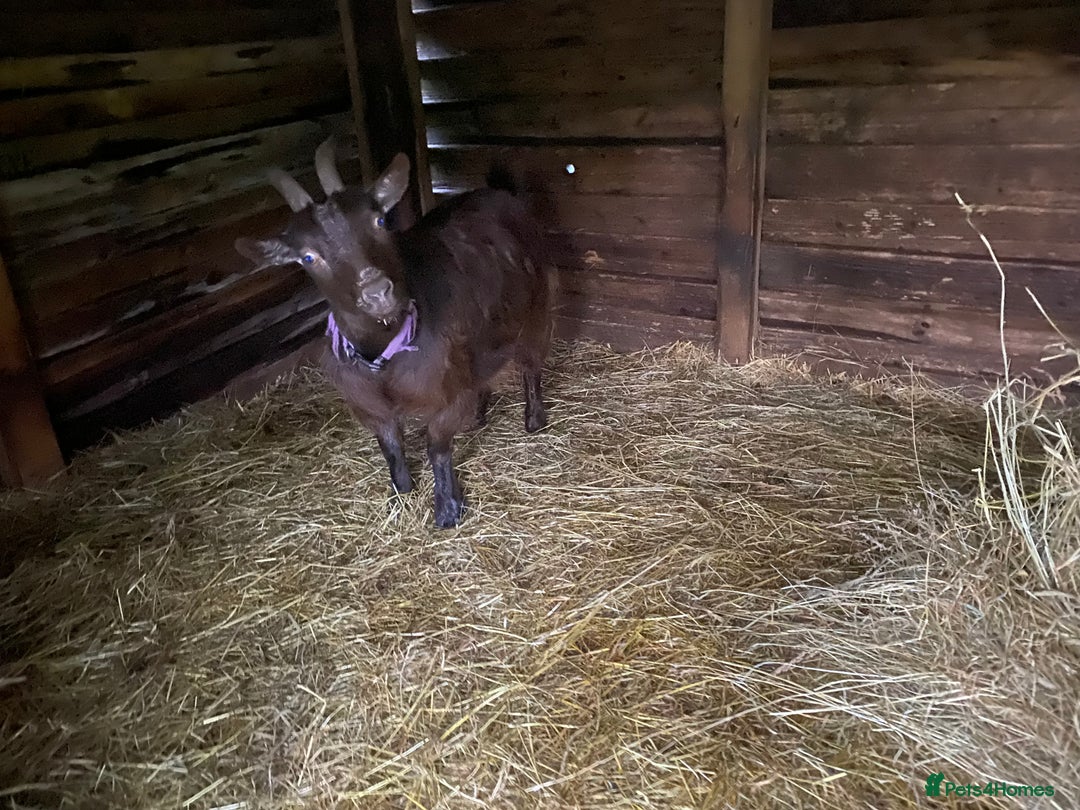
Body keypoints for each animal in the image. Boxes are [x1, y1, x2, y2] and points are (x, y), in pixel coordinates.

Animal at [235, 139, 555, 527]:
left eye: (380, 221)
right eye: (308, 257)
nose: (377, 292)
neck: (385, 354)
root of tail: (499, 191)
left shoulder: (443, 391)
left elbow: (437, 445)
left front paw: (448, 509)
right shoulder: (368, 402)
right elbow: (389, 445)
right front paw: (400, 491)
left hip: (536, 304)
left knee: (531, 363)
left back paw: (534, 419)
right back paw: (478, 416)